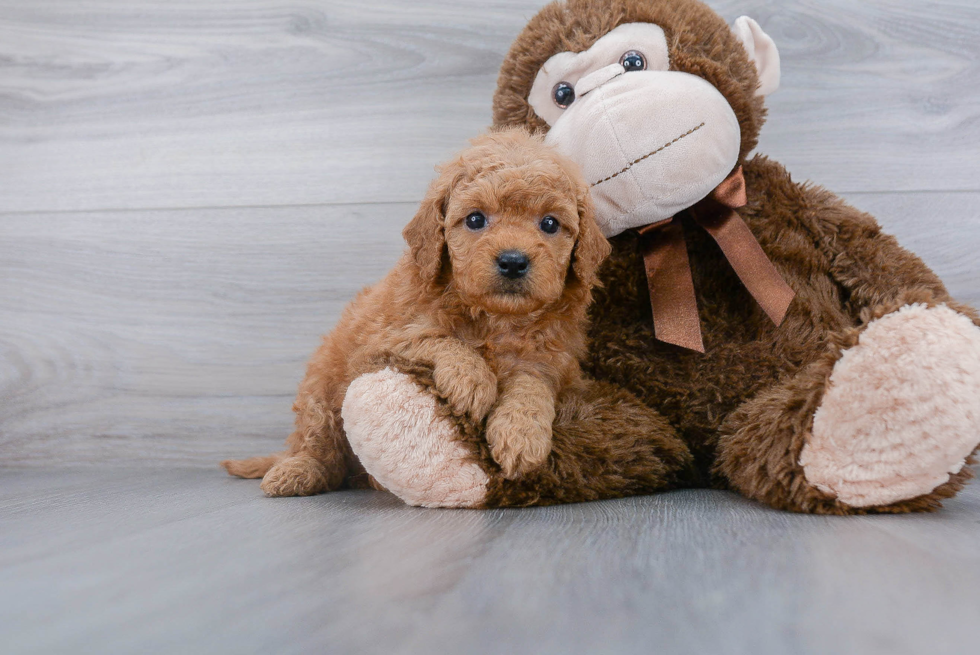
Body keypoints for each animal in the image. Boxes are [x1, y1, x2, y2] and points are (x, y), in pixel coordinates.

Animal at [219, 128, 608, 498]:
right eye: (476, 219)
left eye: (550, 224)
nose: (513, 261)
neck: (496, 319)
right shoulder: (379, 340)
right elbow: (432, 335)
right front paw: (472, 379)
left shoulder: (554, 362)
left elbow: (532, 384)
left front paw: (522, 434)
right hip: (320, 389)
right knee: (319, 445)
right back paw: (296, 471)